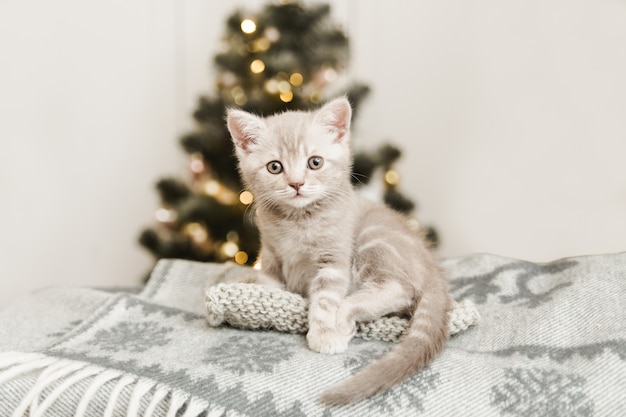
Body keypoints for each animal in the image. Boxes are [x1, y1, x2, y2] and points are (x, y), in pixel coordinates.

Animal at [224, 96, 448, 404]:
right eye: (274, 167)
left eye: (315, 162)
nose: (296, 183)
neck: (297, 221)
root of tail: (431, 264)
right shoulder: (270, 255)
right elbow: (268, 283)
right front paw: (247, 287)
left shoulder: (333, 261)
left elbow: (324, 299)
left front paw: (323, 333)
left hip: (373, 238)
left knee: (400, 290)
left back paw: (344, 316)